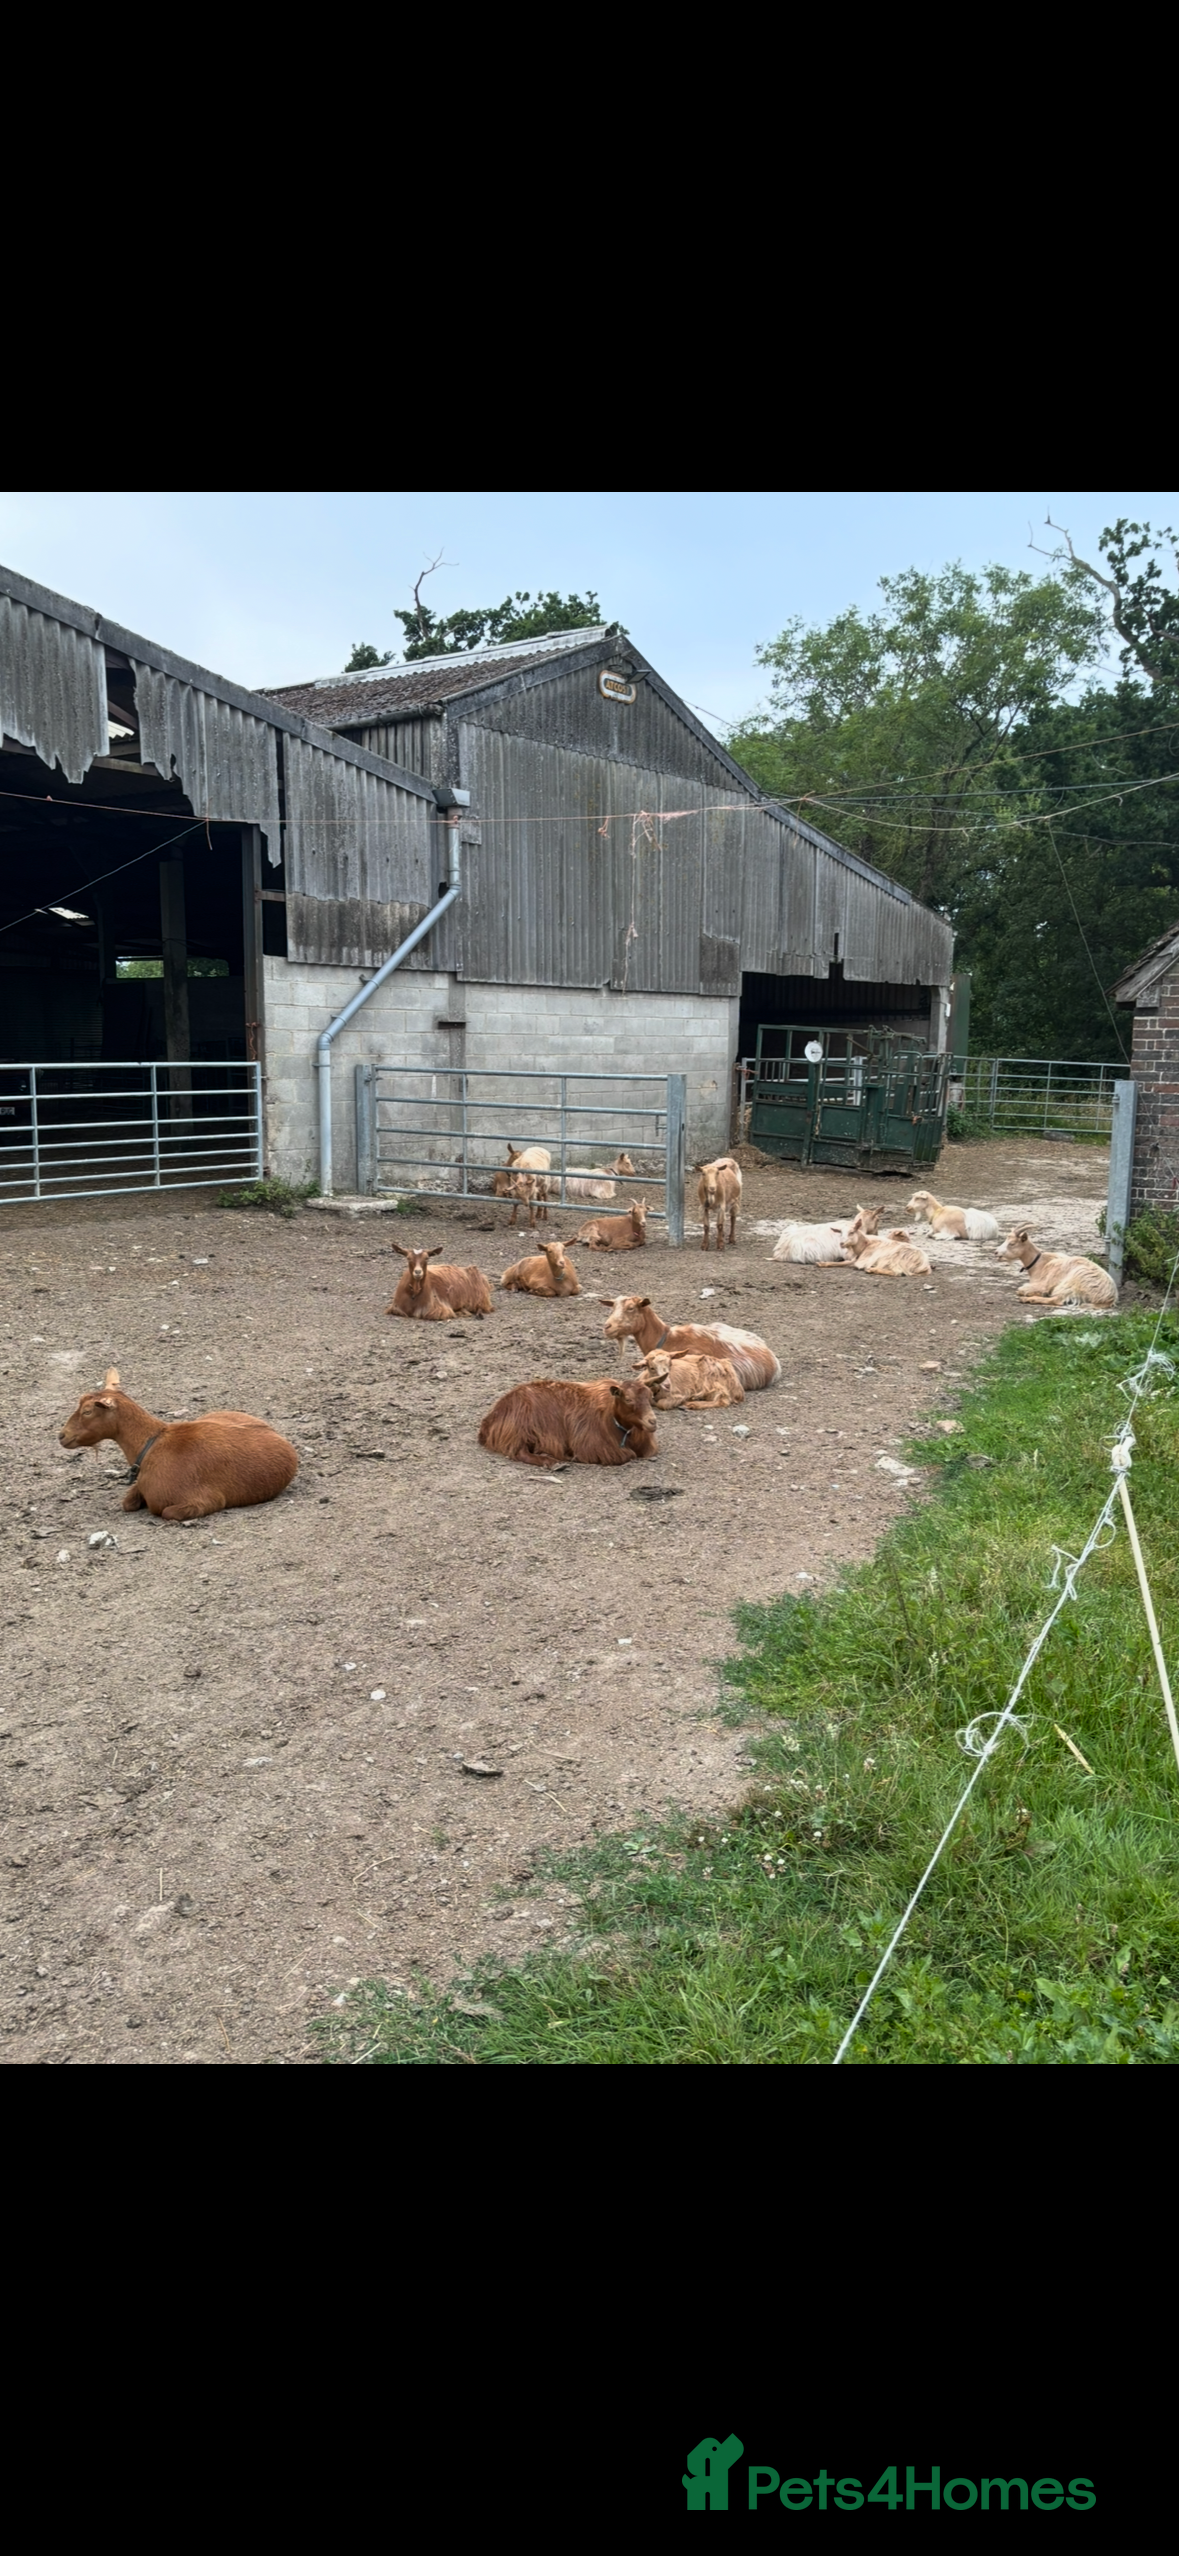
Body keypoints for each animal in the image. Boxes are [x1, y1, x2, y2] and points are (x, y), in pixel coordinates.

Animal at [58, 1369, 297, 1522]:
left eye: (87, 1411)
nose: (62, 1436)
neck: (151, 1447)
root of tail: (275, 1431)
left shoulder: (204, 1501)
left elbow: (166, 1513)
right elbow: (128, 1503)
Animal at [478, 1376, 658, 1468]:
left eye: (651, 1397)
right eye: (628, 1399)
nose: (652, 1421)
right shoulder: (593, 1446)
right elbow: (628, 1455)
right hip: (521, 1429)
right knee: (518, 1452)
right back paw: (552, 1463)